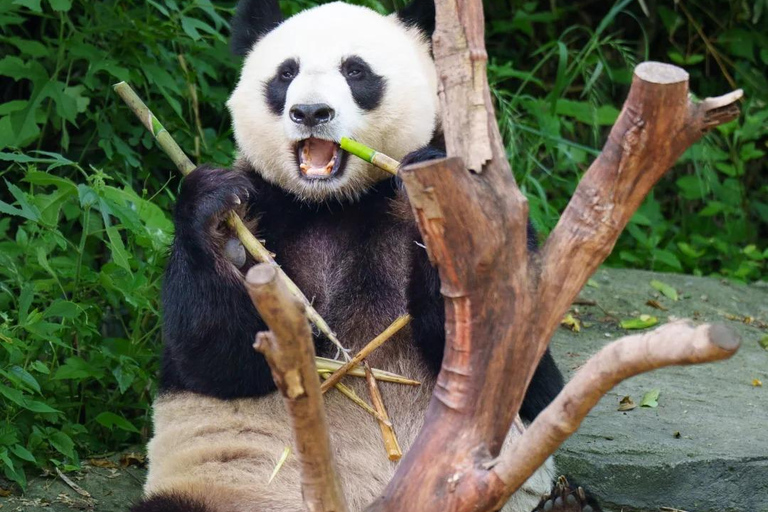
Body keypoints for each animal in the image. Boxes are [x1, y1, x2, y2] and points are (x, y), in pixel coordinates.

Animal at [131, 1, 599, 511]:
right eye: (286, 73)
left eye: (355, 71)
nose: (310, 111)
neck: (341, 202)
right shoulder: (271, 210)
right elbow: (214, 358)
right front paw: (214, 209)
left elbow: (511, 362)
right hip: (232, 485)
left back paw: (566, 501)